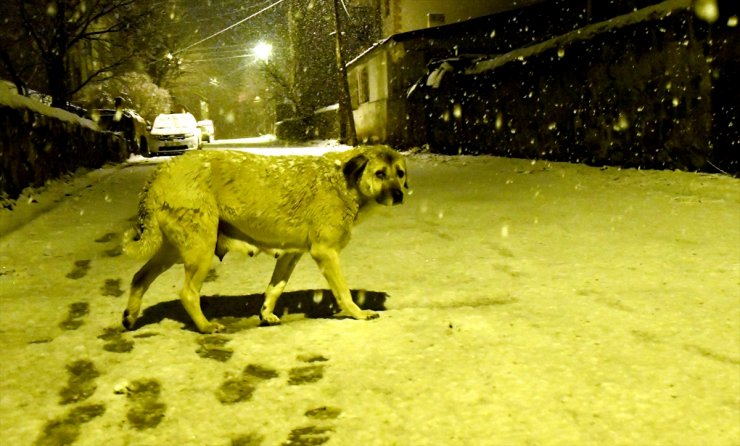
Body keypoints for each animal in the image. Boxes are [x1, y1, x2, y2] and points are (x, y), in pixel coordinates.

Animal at [123, 145, 408, 332]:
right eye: (380, 173)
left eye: (400, 173)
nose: (399, 195)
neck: (343, 181)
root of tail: (161, 170)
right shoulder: (325, 253)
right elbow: (344, 292)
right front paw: (358, 314)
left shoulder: (290, 254)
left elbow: (274, 289)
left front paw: (266, 315)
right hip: (199, 250)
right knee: (188, 293)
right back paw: (205, 326)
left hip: (173, 249)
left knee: (139, 278)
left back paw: (130, 317)